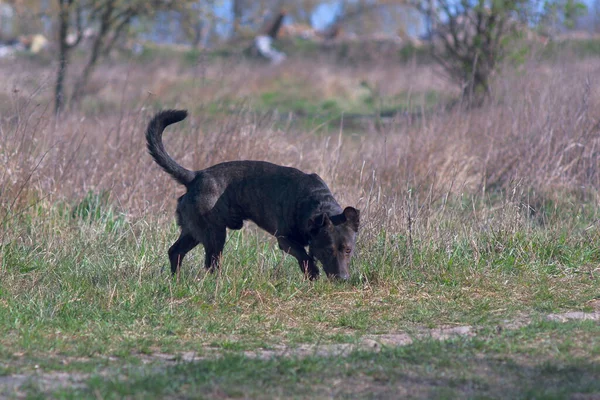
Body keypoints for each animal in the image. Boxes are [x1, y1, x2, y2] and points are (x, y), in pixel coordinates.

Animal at [147, 108, 358, 280]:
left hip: (193, 232)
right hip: (214, 234)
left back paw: (176, 281)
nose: (342, 278)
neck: (316, 204)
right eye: (328, 249)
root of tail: (195, 176)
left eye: (348, 250)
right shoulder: (285, 240)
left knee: (175, 252)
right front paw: (312, 272)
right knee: (211, 265)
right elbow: (304, 256)